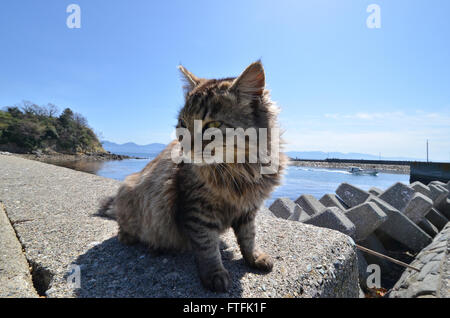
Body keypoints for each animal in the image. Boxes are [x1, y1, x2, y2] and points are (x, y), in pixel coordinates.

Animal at [100, 60, 286, 292]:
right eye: (182, 124)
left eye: (212, 126)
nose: (186, 148)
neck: (240, 170)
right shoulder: (197, 209)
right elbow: (207, 246)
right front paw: (214, 274)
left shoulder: (248, 208)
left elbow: (248, 237)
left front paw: (254, 258)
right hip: (129, 191)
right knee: (124, 225)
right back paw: (135, 239)